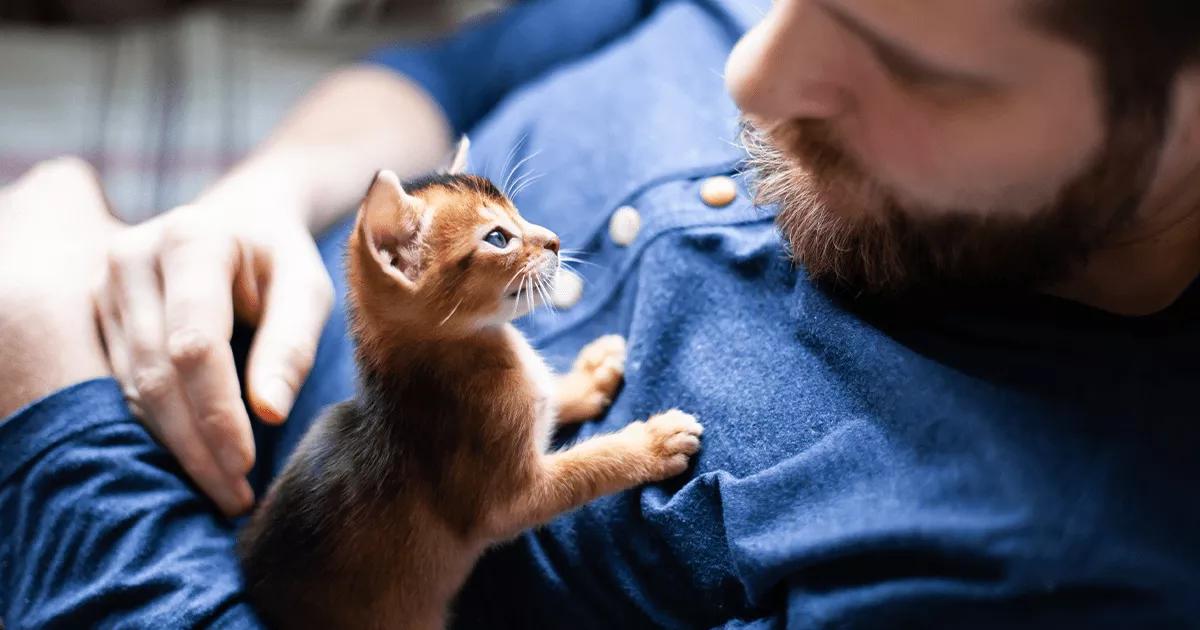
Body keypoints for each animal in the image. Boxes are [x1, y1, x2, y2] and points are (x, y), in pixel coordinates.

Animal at [235, 142, 700, 628]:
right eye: (498, 238)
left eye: (518, 213)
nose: (554, 239)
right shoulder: (509, 501)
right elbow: (587, 467)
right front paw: (652, 443)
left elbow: (550, 396)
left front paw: (590, 374)